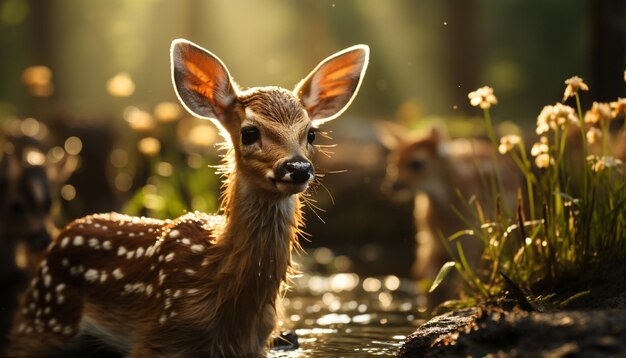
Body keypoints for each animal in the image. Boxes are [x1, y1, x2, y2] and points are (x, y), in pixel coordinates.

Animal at [376, 121, 516, 306]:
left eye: (416, 163)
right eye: (393, 162)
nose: (391, 186)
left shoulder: (471, 242)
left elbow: (462, 281)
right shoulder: (430, 243)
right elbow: (424, 278)